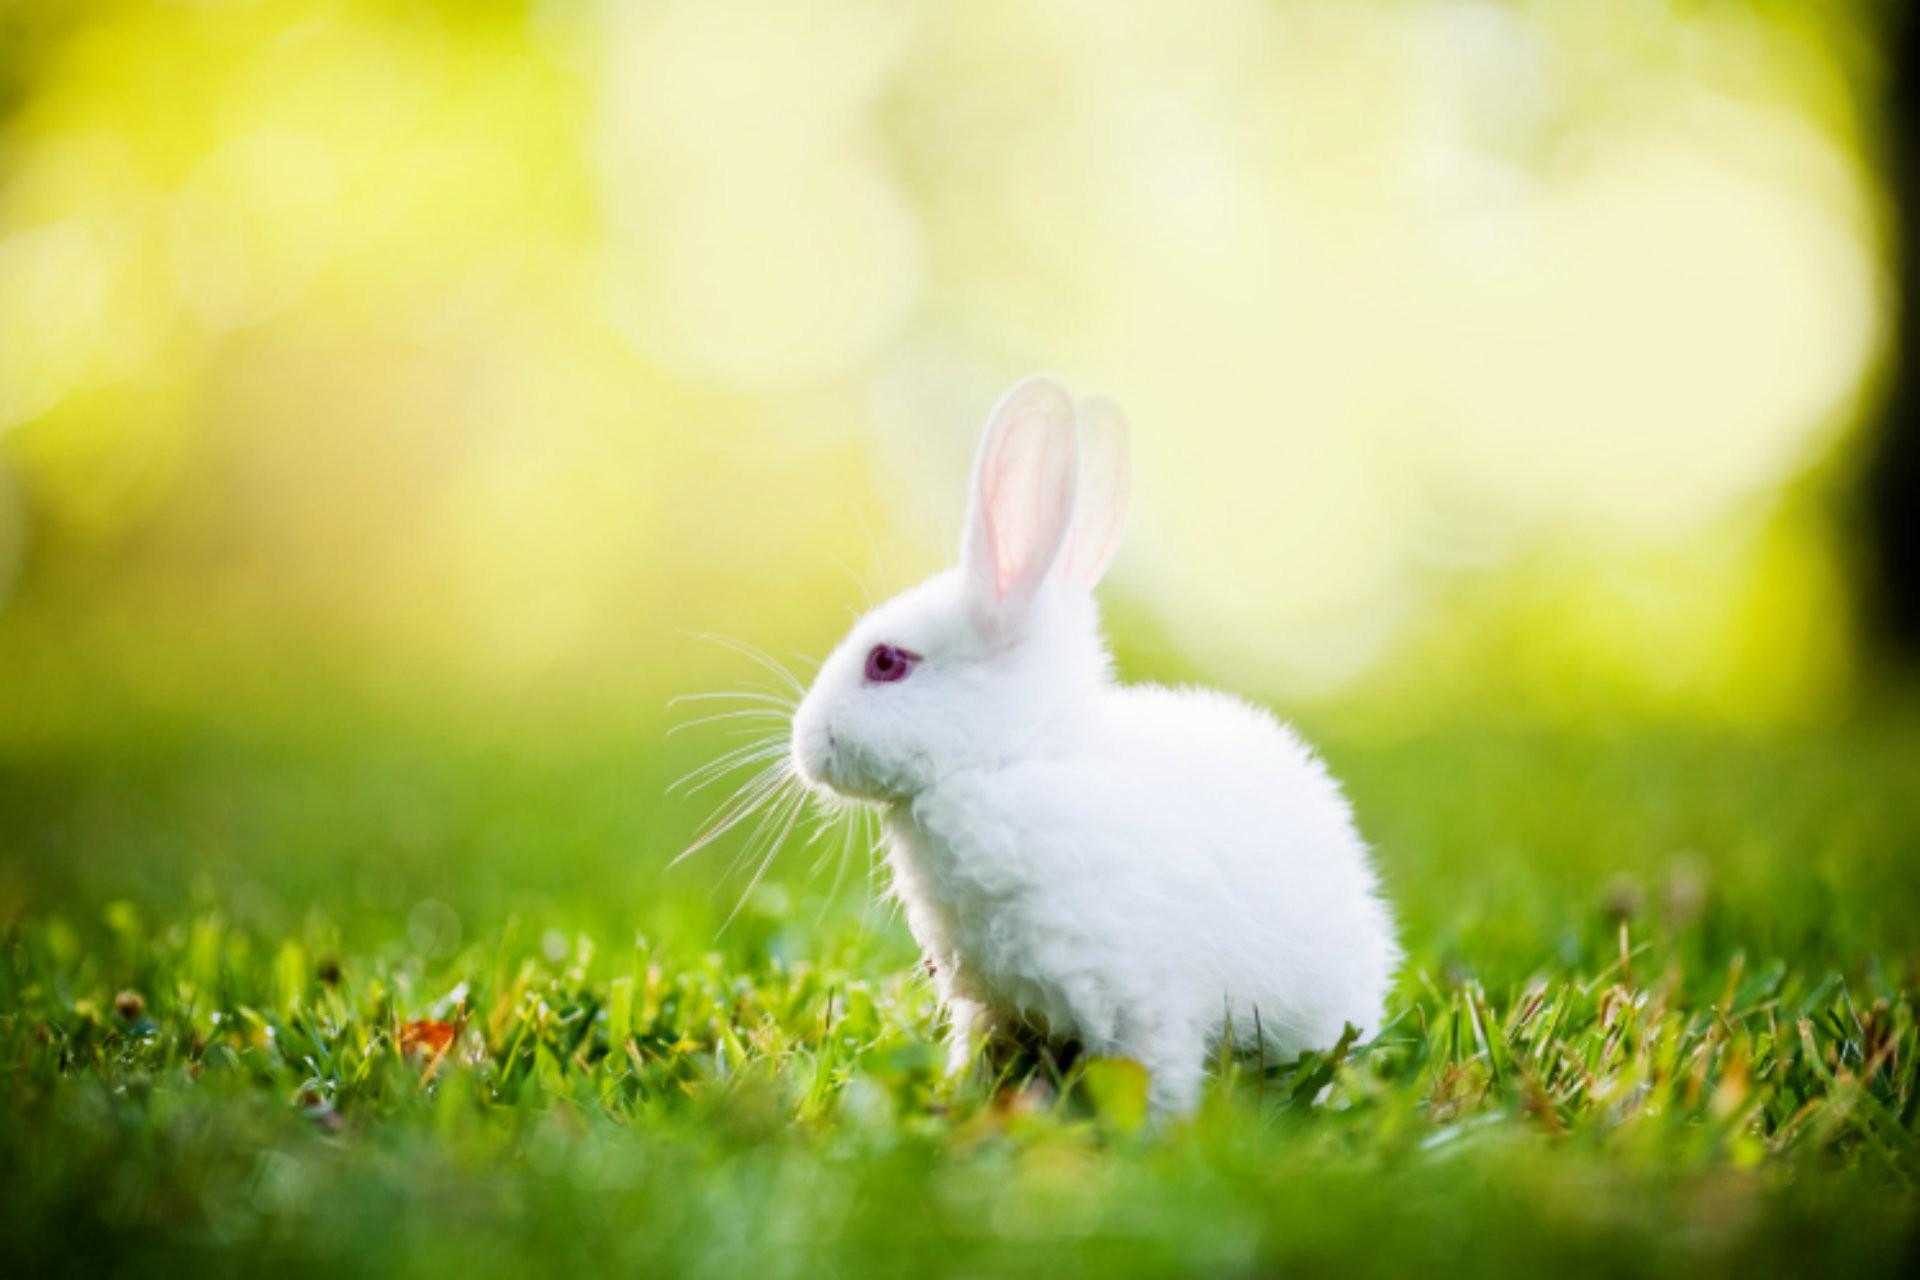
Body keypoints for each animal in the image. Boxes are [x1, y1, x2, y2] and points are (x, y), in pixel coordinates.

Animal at [788, 375, 1400, 1115]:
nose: (804, 744)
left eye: (886, 662)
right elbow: (983, 1055)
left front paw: (1153, 1132)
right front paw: (963, 1101)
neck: (1011, 759)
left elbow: (1154, 1076)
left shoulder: (1143, 996)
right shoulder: (992, 1002)